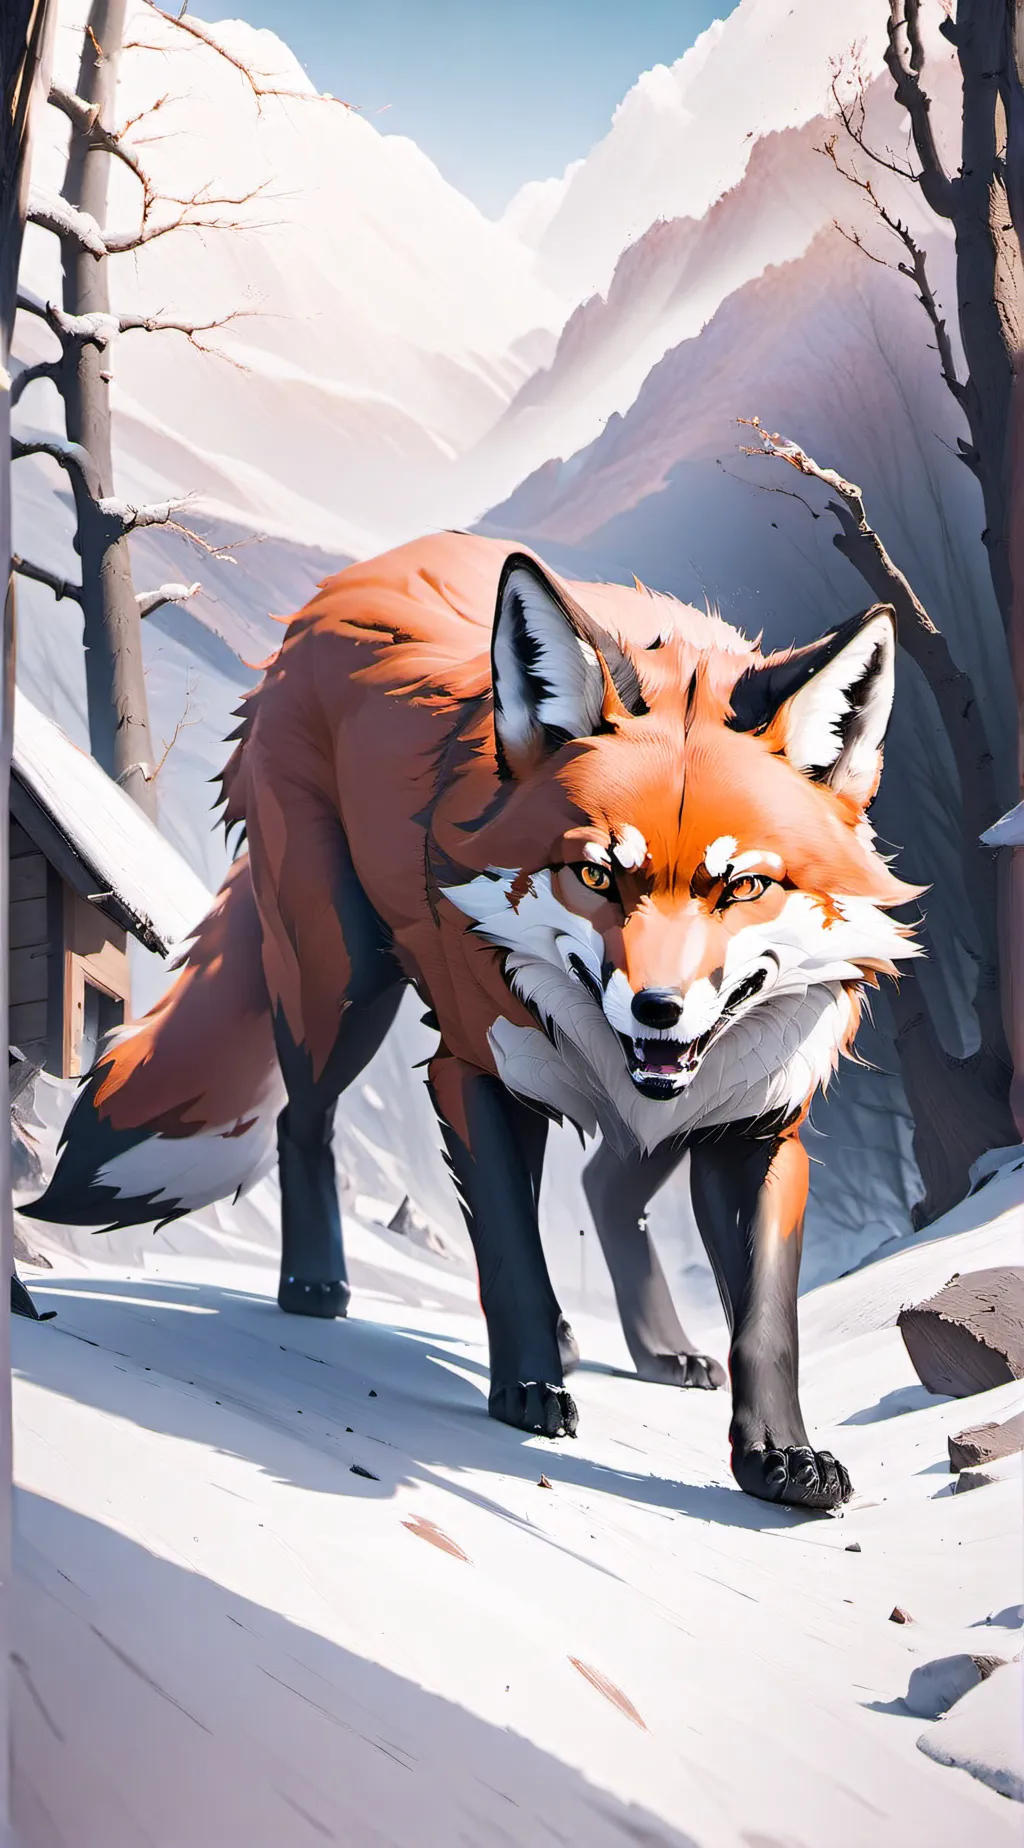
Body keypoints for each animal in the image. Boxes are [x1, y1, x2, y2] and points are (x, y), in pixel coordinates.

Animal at [28, 531, 920, 1509]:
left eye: (746, 886)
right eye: (597, 875)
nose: (658, 1009)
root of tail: (338, 590)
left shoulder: (751, 1121)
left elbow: (765, 1320)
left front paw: (778, 1456)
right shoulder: (475, 1073)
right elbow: (513, 1256)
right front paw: (528, 1389)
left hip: (664, 1104)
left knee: (606, 1184)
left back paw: (654, 1347)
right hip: (342, 988)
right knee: (306, 1121)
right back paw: (314, 1284)